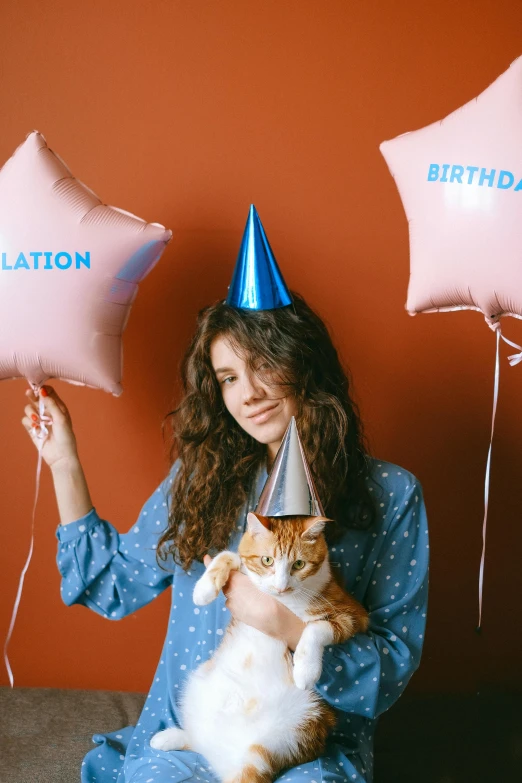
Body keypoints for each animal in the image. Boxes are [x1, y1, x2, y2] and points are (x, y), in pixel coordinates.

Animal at [148, 512, 368, 780]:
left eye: (299, 564)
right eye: (267, 560)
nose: (281, 586)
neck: (281, 599)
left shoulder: (354, 615)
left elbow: (316, 628)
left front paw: (306, 669)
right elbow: (229, 555)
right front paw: (204, 588)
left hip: (280, 740)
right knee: (198, 739)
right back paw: (170, 737)